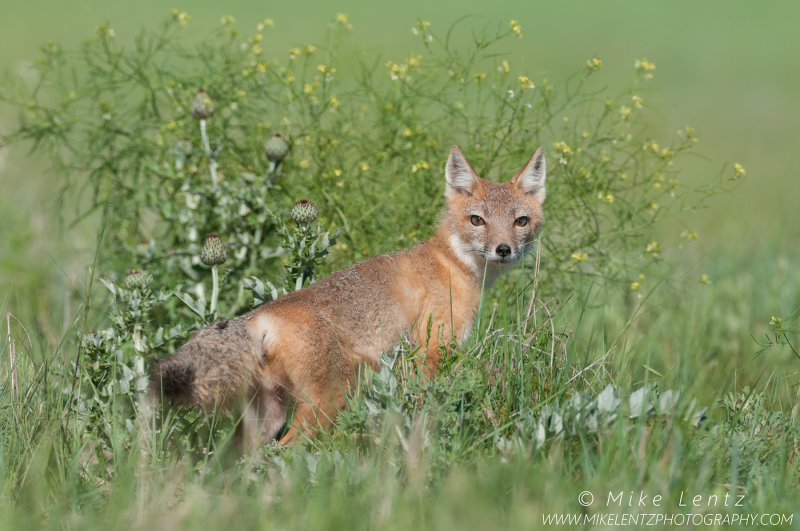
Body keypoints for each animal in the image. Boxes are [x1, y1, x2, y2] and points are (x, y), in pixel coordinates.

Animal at [152, 145, 544, 448]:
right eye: (477, 220)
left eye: (520, 221)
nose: (503, 250)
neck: (452, 262)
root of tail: (256, 317)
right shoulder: (431, 352)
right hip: (325, 405)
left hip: (269, 419)